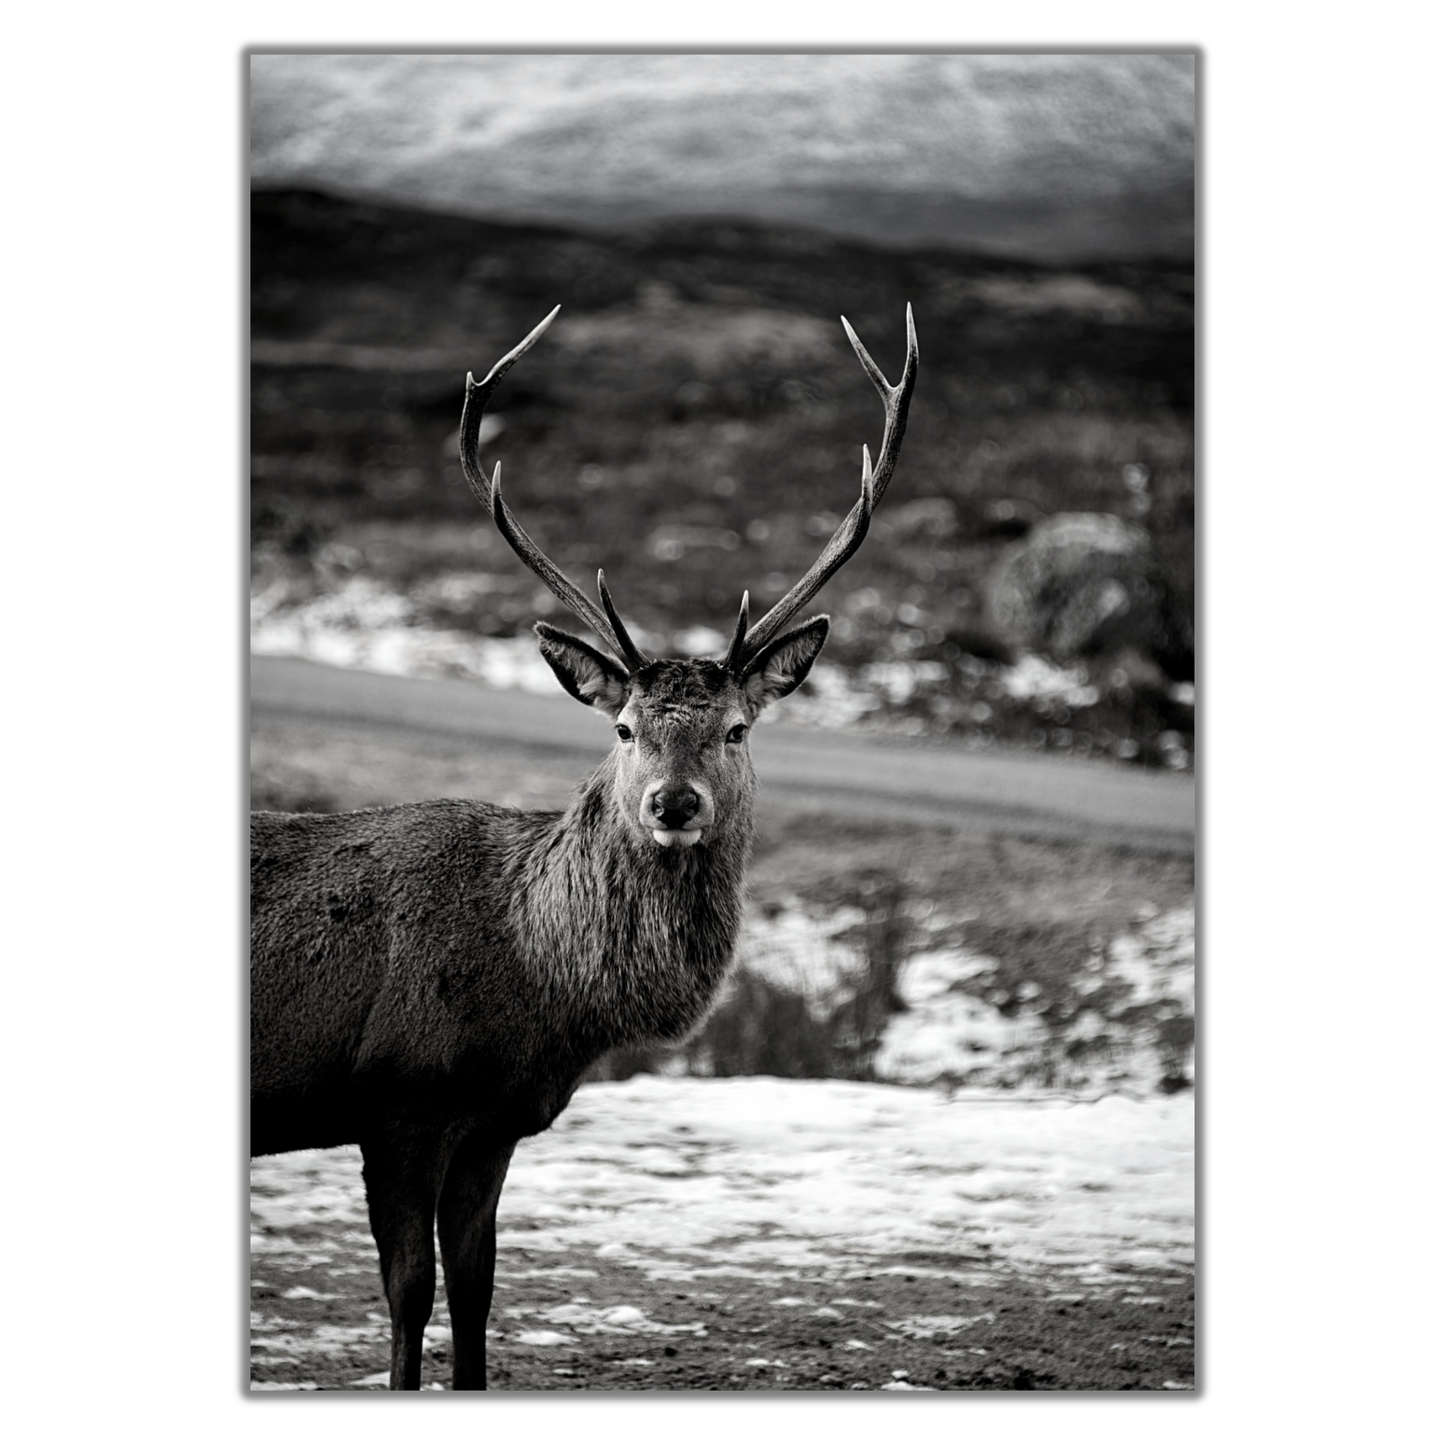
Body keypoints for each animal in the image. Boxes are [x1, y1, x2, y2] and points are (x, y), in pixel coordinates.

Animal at [250, 302, 919, 1390]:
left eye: (737, 727)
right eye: (624, 726)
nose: (672, 802)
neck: (537, 985)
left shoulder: (493, 1123)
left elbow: (477, 1299)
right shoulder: (398, 1097)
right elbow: (408, 1298)